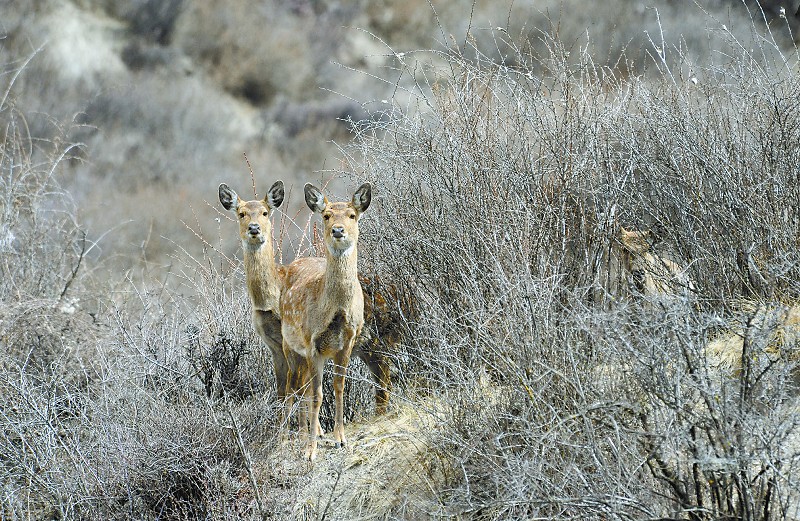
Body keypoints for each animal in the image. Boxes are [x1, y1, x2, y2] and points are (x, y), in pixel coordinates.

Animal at [280, 182, 370, 460]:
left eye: (352, 215)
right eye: (327, 215)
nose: (338, 230)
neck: (336, 313)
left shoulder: (347, 342)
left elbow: (338, 386)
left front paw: (340, 438)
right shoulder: (312, 343)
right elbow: (318, 396)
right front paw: (310, 451)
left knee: (303, 388)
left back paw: (315, 431)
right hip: (290, 345)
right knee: (292, 387)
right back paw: (286, 436)